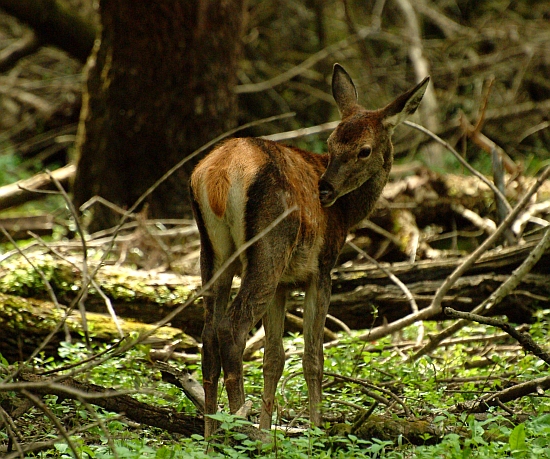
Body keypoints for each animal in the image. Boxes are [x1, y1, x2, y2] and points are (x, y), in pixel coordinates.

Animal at [191, 63, 432, 434]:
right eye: (331, 143)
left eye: (362, 149)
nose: (325, 190)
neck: (347, 214)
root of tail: (218, 175)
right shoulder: (322, 267)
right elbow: (312, 357)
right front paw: (315, 430)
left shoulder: (284, 283)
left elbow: (274, 358)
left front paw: (267, 431)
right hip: (269, 245)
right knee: (231, 327)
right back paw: (236, 424)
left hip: (215, 249)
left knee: (207, 333)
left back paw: (211, 433)